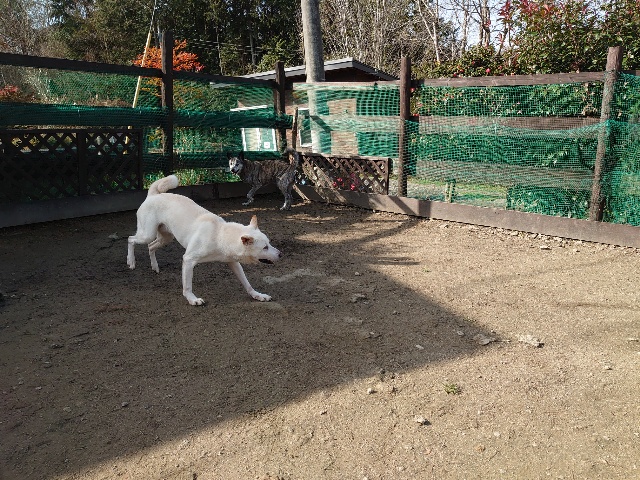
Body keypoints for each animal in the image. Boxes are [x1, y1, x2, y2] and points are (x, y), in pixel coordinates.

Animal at [127, 175, 282, 306]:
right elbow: (187, 286)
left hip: (165, 238)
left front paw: (258, 295)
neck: (219, 234)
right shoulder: (188, 260)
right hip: (147, 234)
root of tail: (153, 195)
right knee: (131, 239)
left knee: (150, 247)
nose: (281, 254)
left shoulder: (233, 262)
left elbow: (247, 283)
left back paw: (155, 266)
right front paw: (192, 299)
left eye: (269, 243)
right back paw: (131, 261)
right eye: (265, 247)